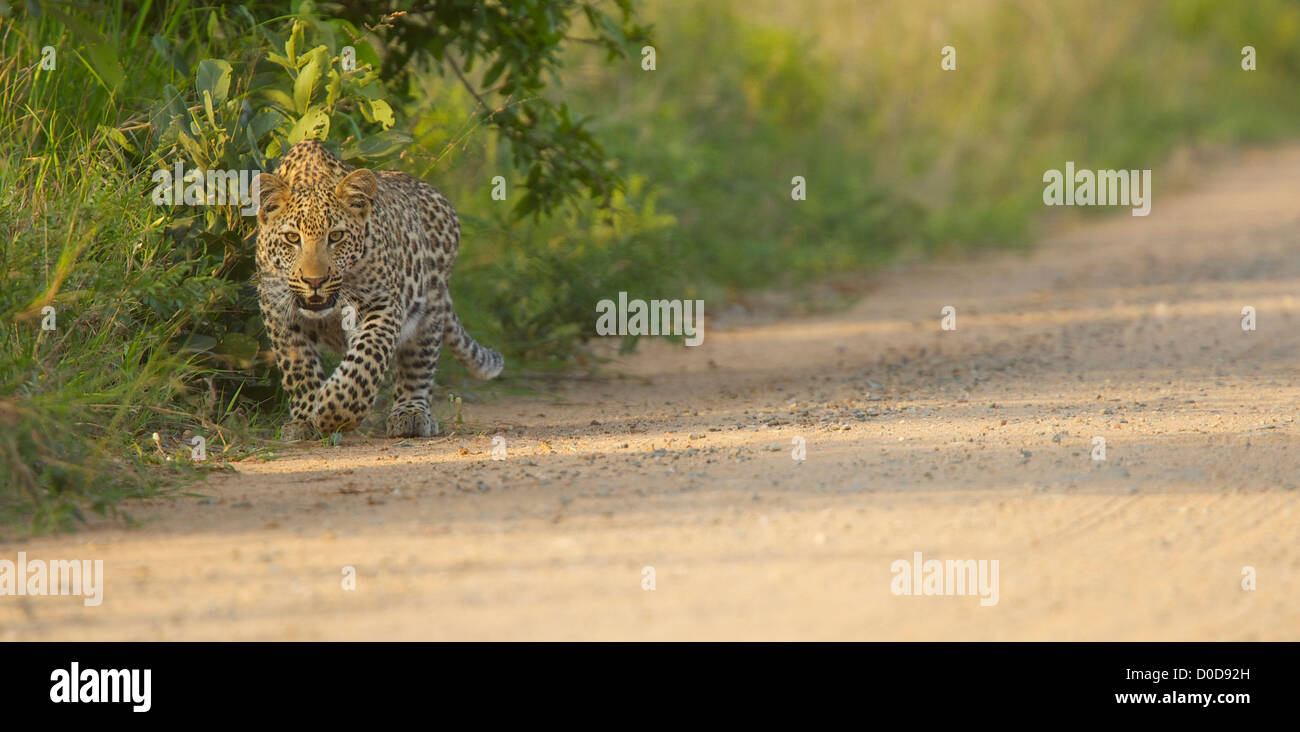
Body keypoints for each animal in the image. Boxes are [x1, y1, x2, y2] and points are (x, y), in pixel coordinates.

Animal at [253, 137, 501, 442]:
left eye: (336, 236)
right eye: (291, 238)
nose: (314, 281)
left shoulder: (381, 305)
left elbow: (364, 362)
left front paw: (332, 412)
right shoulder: (277, 310)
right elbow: (298, 369)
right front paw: (305, 419)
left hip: (429, 310)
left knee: (418, 364)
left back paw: (411, 414)